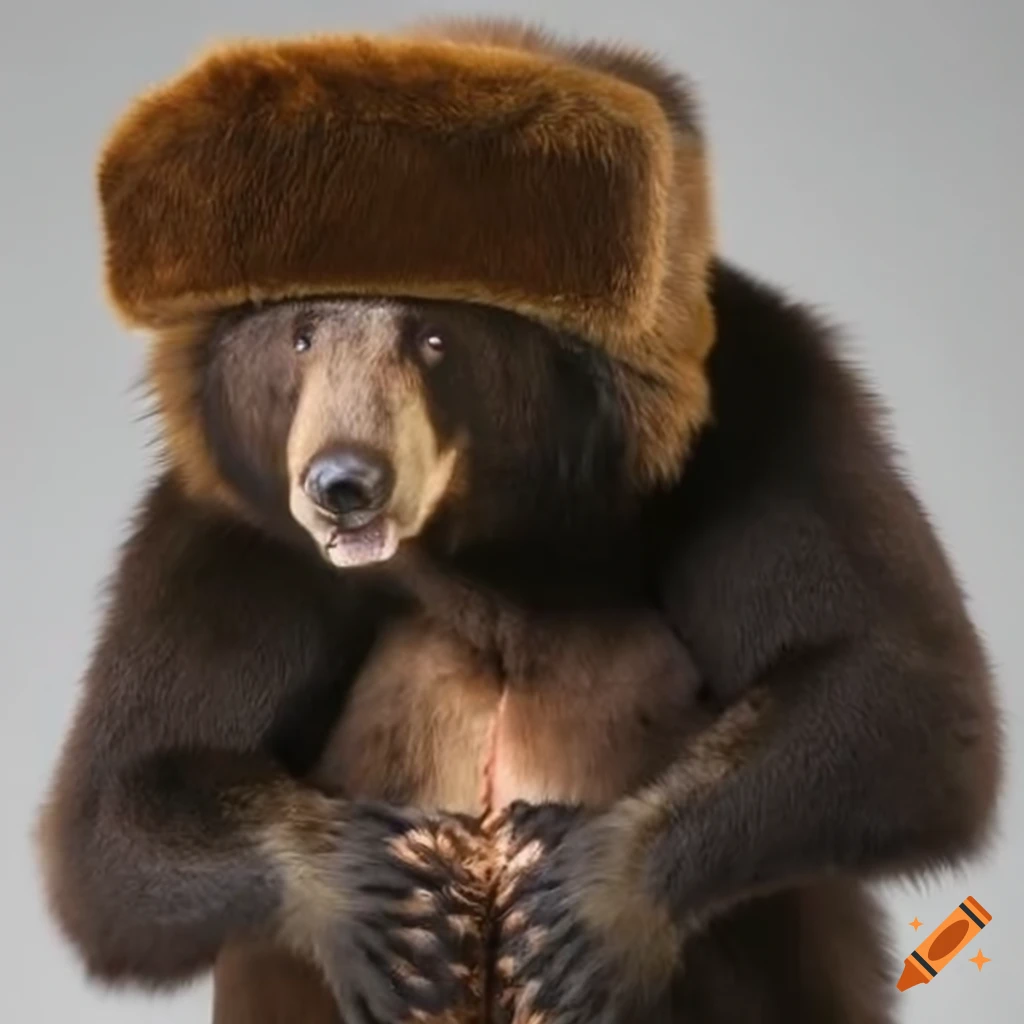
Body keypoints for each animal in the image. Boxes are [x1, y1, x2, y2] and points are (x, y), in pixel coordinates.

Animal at [37, 16, 1001, 1024]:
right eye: (300, 334)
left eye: (433, 336)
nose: (344, 482)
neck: (492, 549)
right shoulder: (231, 529)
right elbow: (120, 807)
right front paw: (375, 896)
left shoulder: (763, 406)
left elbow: (892, 685)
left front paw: (586, 901)